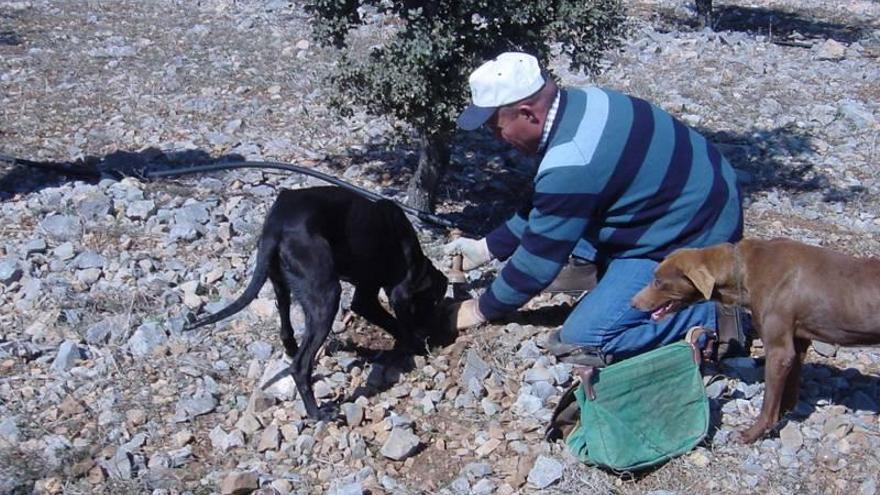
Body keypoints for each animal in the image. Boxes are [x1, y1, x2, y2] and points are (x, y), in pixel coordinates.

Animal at [186, 186, 446, 418]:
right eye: (432, 303)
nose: (435, 333)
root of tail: (275, 227)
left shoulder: (366, 296)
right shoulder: (377, 295)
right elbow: (399, 323)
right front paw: (416, 345)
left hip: (282, 283)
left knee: (286, 327)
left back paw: (291, 349)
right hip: (327, 296)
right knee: (300, 367)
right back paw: (317, 413)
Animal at [636, 238, 880, 444]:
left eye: (658, 281)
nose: (633, 303)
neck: (741, 269)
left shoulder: (779, 351)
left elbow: (768, 405)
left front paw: (751, 433)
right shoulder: (798, 342)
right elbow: (789, 389)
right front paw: (785, 413)